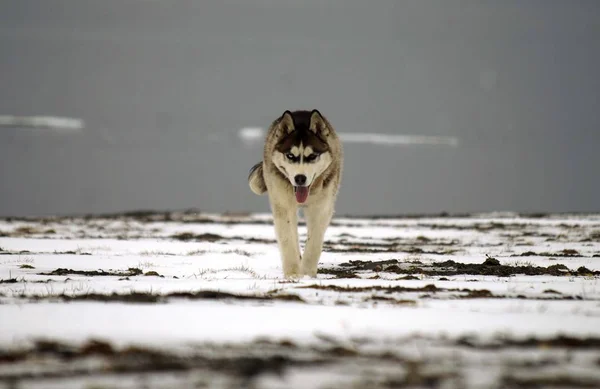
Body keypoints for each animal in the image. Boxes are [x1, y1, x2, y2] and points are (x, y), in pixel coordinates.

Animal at [248, 109, 342, 278]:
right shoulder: (283, 205)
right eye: (290, 156)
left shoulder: (321, 207)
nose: (300, 178)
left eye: (312, 156)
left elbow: (314, 242)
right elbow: (288, 239)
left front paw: (307, 273)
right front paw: (292, 273)